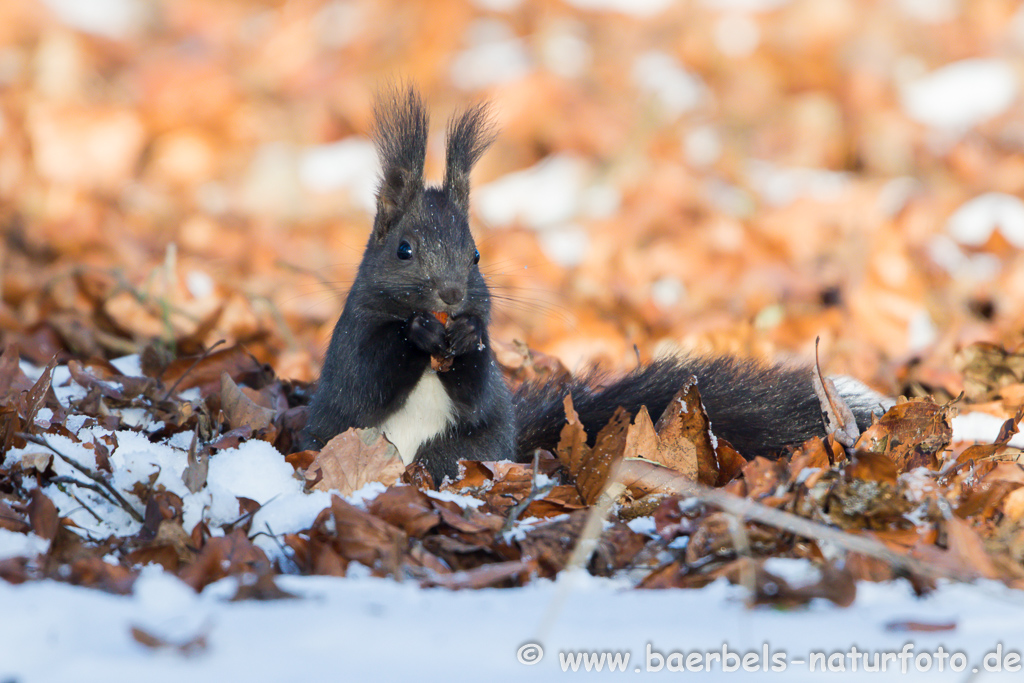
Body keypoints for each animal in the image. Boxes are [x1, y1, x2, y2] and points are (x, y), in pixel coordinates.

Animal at [299, 88, 888, 483]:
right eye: (403, 250)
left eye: (476, 256)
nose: (450, 297)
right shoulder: (355, 337)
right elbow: (369, 379)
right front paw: (417, 331)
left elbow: (478, 387)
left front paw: (465, 339)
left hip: (469, 449)